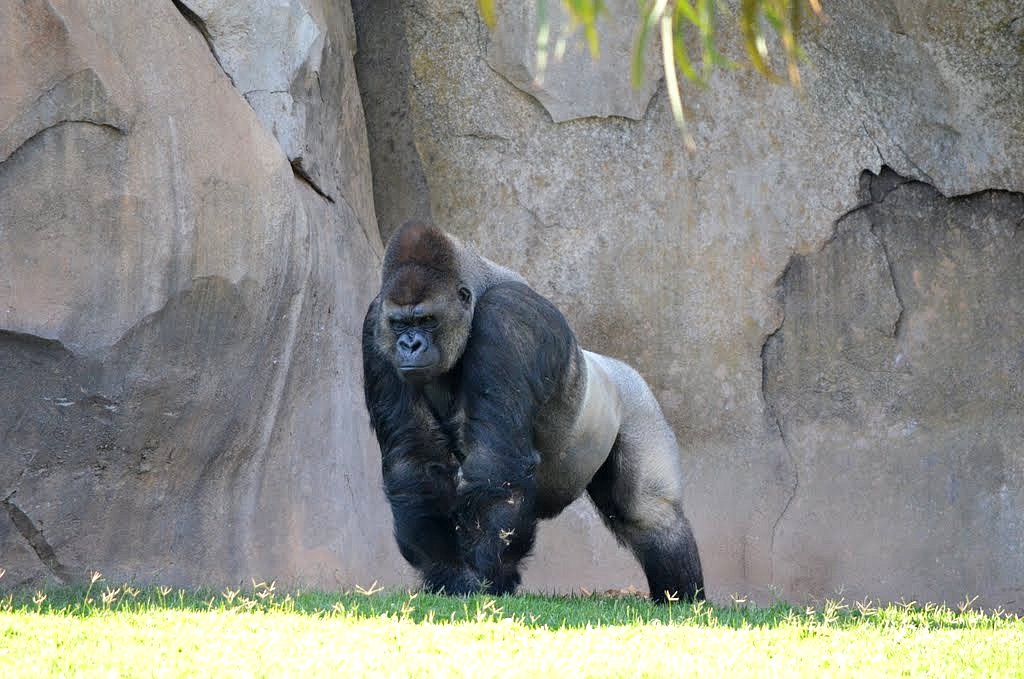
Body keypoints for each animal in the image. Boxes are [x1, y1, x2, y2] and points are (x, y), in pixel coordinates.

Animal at [362, 220, 704, 602]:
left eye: (426, 320)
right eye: (400, 324)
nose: (410, 345)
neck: (478, 289)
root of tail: (622, 369)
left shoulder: (507, 317)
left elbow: (497, 463)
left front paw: (483, 579)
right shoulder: (375, 324)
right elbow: (415, 459)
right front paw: (448, 572)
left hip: (640, 405)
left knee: (651, 513)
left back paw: (681, 600)